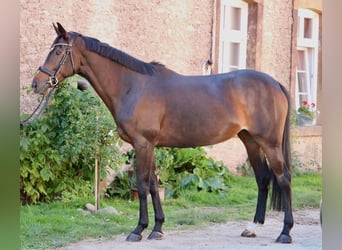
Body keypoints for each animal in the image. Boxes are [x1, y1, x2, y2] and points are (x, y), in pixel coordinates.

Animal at [32, 23, 292, 242]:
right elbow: (154, 185)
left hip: (269, 143)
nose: (37, 83)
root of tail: (275, 84)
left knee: (283, 178)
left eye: (58, 52)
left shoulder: (142, 143)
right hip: (250, 140)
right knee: (263, 179)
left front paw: (138, 230)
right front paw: (157, 228)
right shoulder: (150, 146)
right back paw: (252, 227)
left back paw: (285, 233)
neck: (133, 86)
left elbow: (142, 184)